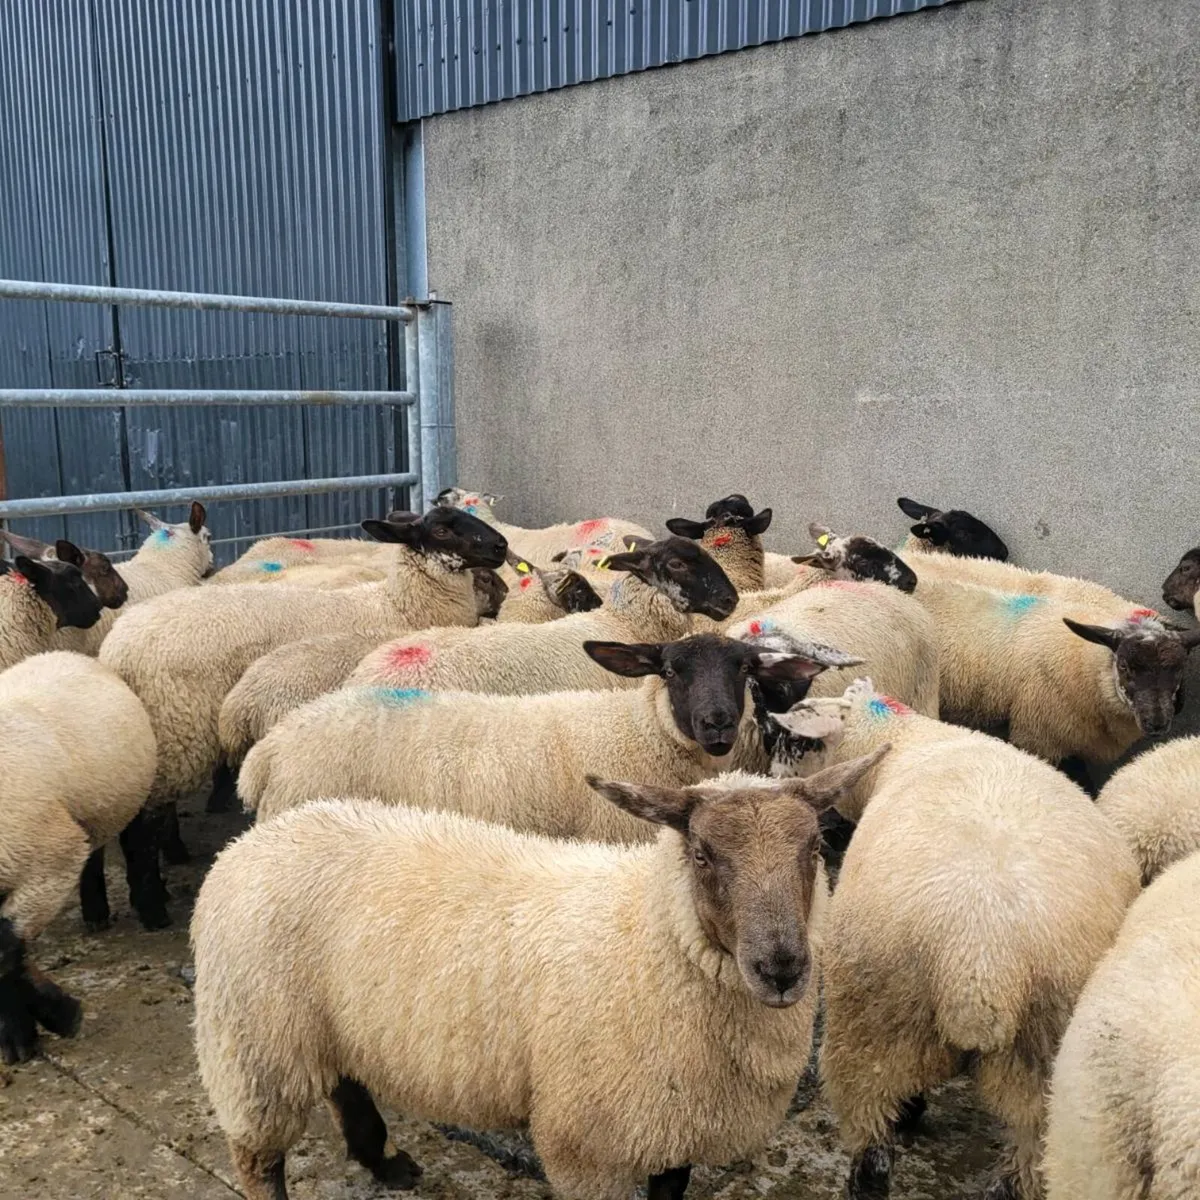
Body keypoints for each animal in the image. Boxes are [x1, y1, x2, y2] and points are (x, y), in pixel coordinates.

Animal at [0, 651, 158, 1064]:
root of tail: (64, 654)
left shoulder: (49, 856)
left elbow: (4, 948)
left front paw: (41, 1025)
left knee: (134, 841)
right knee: (94, 849)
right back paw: (95, 911)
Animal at [193, 748, 887, 1200]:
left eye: (815, 848)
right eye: (701, 854)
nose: (782, 967)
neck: (648, 937)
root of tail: (249, 843)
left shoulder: (673, 1128)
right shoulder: (590, 1147)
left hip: (322, 1023)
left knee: (345, 1084)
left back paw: (384, 1161)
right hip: (255, 1044)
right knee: (258, 1157)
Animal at [761, 677, 1140, 1199]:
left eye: (793, 737)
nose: (773, 784)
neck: (907, 740)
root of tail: (981, 966)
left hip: (871, 1025)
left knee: (873, 1147)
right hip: (1041, 1055)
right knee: (1027, 1157)